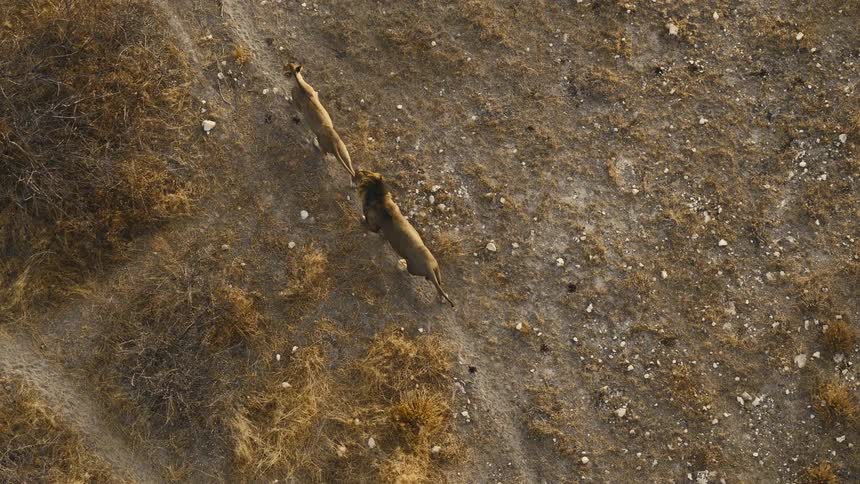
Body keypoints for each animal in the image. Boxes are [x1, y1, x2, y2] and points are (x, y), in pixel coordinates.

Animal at [354, 170, 455, 307]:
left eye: (364, 172)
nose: (356, 170)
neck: (379, 196)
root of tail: (430, 267)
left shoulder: (374, 225)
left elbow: (368, 225)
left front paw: (361, 220)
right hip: (437, 271)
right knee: (440, 287)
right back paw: (442, 299)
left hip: (413, 269)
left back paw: (401, 266)